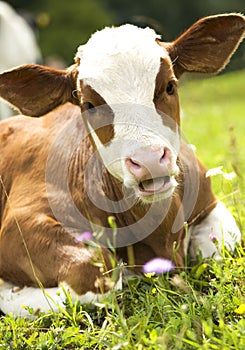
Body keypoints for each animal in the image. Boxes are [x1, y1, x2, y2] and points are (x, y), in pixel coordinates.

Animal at [0, 13, 243, 316]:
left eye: (170, 86)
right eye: (90, 104)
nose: (149, 159)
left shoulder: (210, 202)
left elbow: (218, 246)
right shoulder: (18, 224)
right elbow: (95, 278)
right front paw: (8, 290)